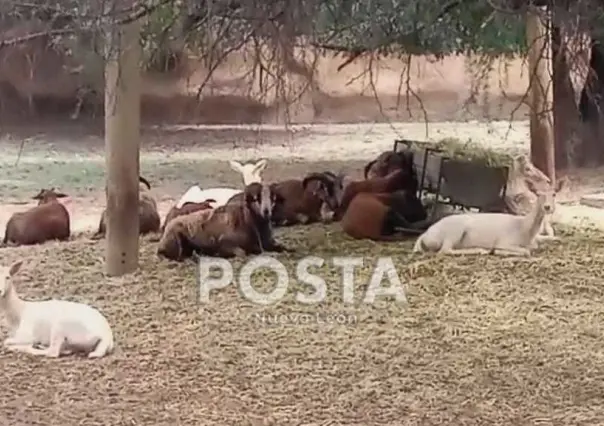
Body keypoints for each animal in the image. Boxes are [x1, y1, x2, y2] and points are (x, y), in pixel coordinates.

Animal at [158, 182, 290, 262]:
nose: (266, 211)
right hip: (177, 246)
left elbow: (283, 247)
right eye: (256, 198)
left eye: (273, 199)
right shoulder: (226, 243)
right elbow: (242, 253)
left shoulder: (268, 244)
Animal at [412, 189, 556, 256]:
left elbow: (532, 248)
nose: (548, 207)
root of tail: (424, 236)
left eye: (554, 194)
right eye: (538, 194)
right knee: (444, 250)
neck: (523, 228)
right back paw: (482, 250)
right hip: (454, 231)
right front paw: (497, 251)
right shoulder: (504, 241)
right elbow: (526, 251)